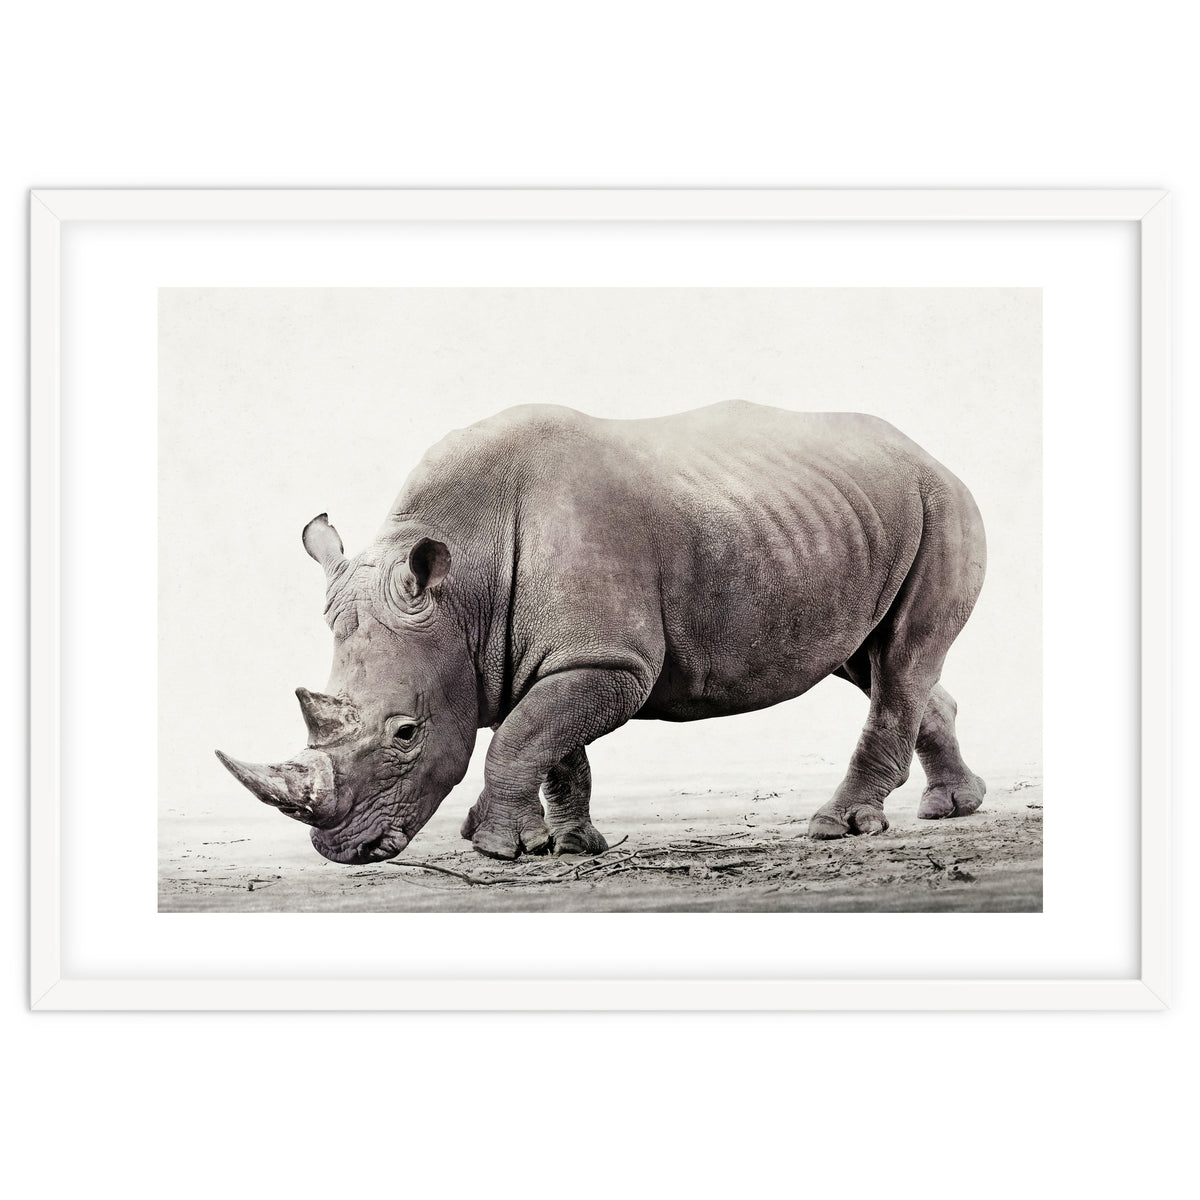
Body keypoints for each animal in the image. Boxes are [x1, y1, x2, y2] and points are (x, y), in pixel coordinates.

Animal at [217, 400, 987, 864]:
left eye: (405, 733)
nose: (341, 849)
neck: (463, 586)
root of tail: (928, 452)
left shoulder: (610, 659)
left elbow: (523, 736)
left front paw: (496, 849)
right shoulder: (558, 655)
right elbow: (553, 744)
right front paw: (570, 844)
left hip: (942, 504)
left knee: (900, 660)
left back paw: (839, 826)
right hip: (844, 519)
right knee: (873, 661)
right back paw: (952, 808)